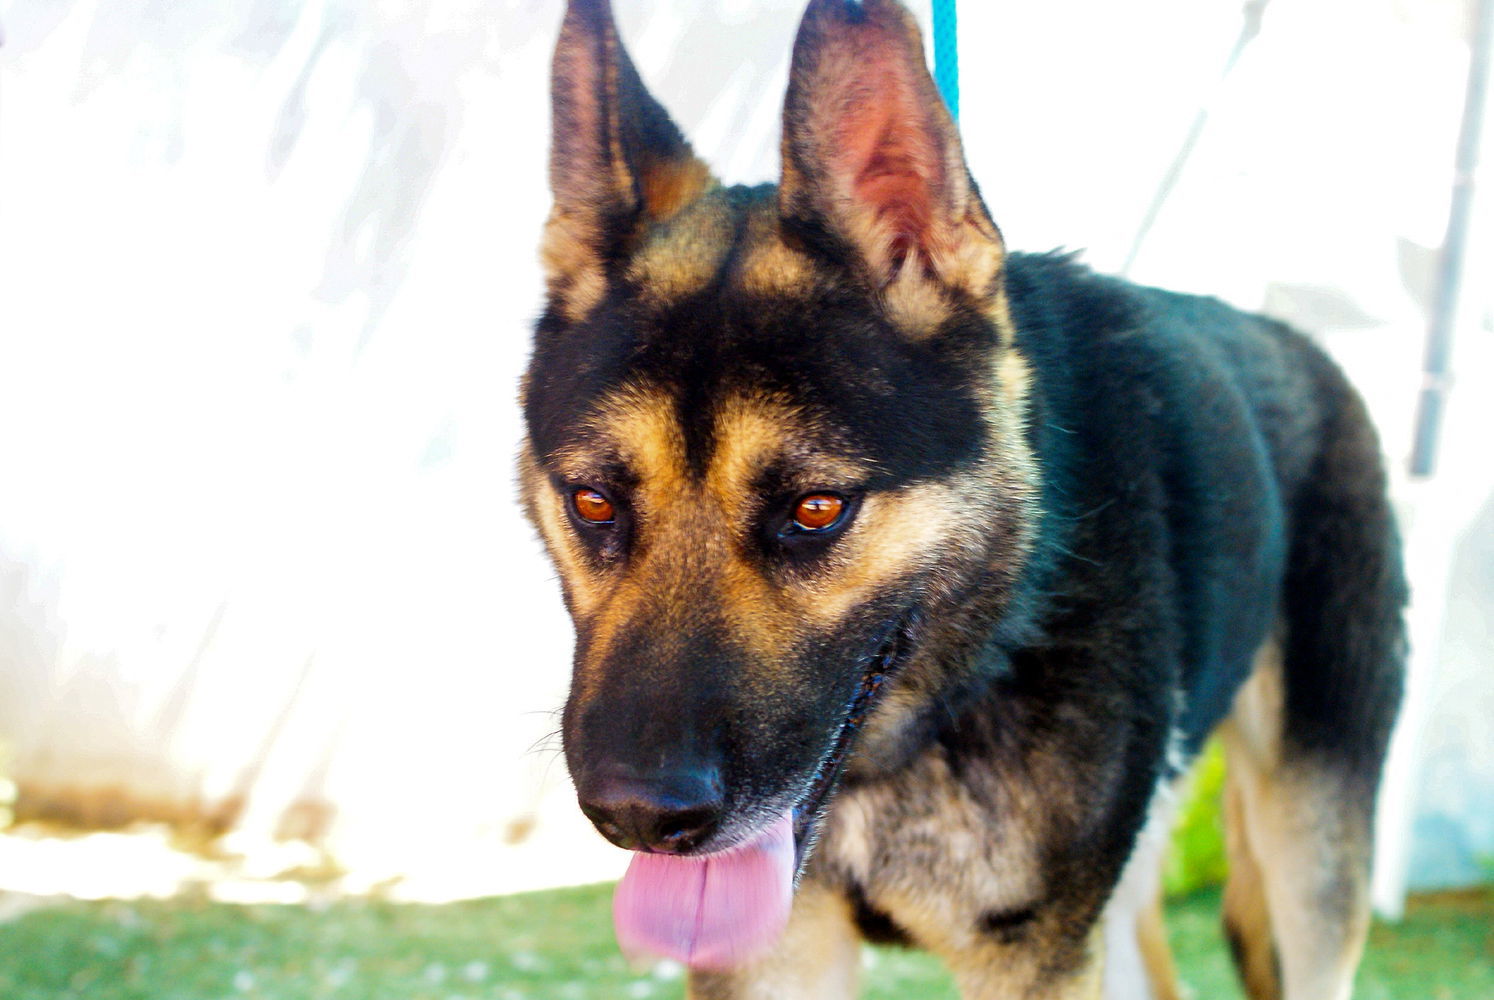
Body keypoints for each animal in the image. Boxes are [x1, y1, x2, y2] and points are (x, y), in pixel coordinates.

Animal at [519, 1, 1404, 992]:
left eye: (816, 508)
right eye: (593, 501)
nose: (637, 814)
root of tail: (1299, 343)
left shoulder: (1034, 958)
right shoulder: (773, 955)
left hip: (1311, 850)